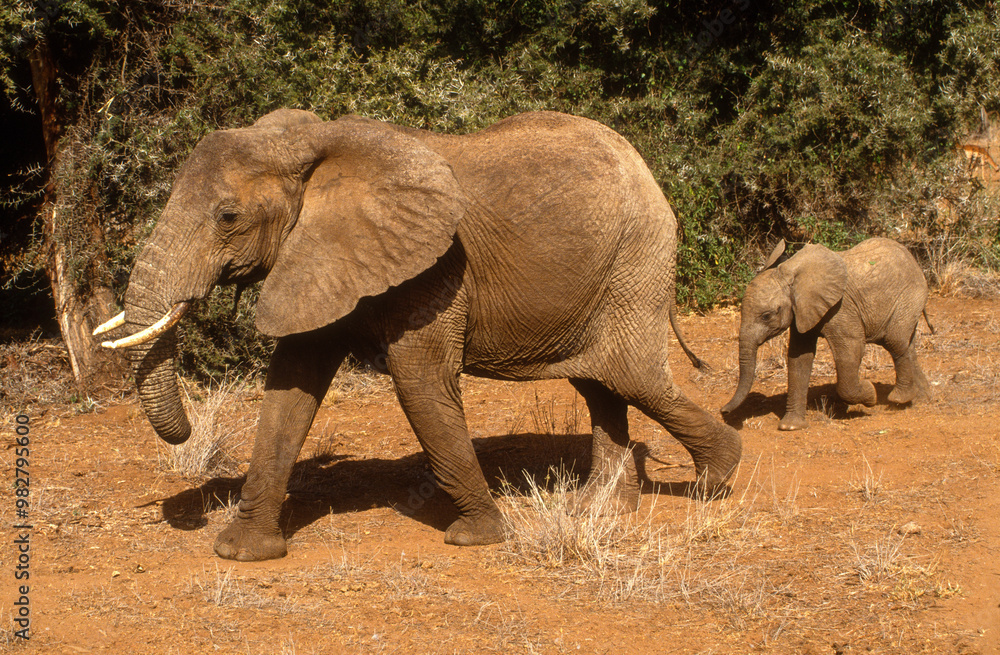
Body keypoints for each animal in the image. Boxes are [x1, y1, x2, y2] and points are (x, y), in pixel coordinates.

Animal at [98, 108, 742, 561]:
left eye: (227, 217)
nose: (185, 437)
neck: (316, 146)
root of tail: (647, 171)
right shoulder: (323, 254)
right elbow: (290, 387)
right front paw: (242, 552)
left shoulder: (433, 268)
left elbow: (420, 383)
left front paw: (476, 537)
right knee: (601, 384)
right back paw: (601, 509)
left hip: (637, 258)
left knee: (633, 377)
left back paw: (714, 481)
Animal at [720, 237, 931, 431]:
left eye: (766, 316)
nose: (723, 411)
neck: (791, 275)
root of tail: (912, 259)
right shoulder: (802, 310)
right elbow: (799, 358)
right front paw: (791, 427)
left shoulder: (841, 308)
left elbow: (850, 352)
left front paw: (870, 394)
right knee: (907, 345)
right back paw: (922, 398)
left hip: (910, 295)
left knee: (895, 341)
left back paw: (898, 399)